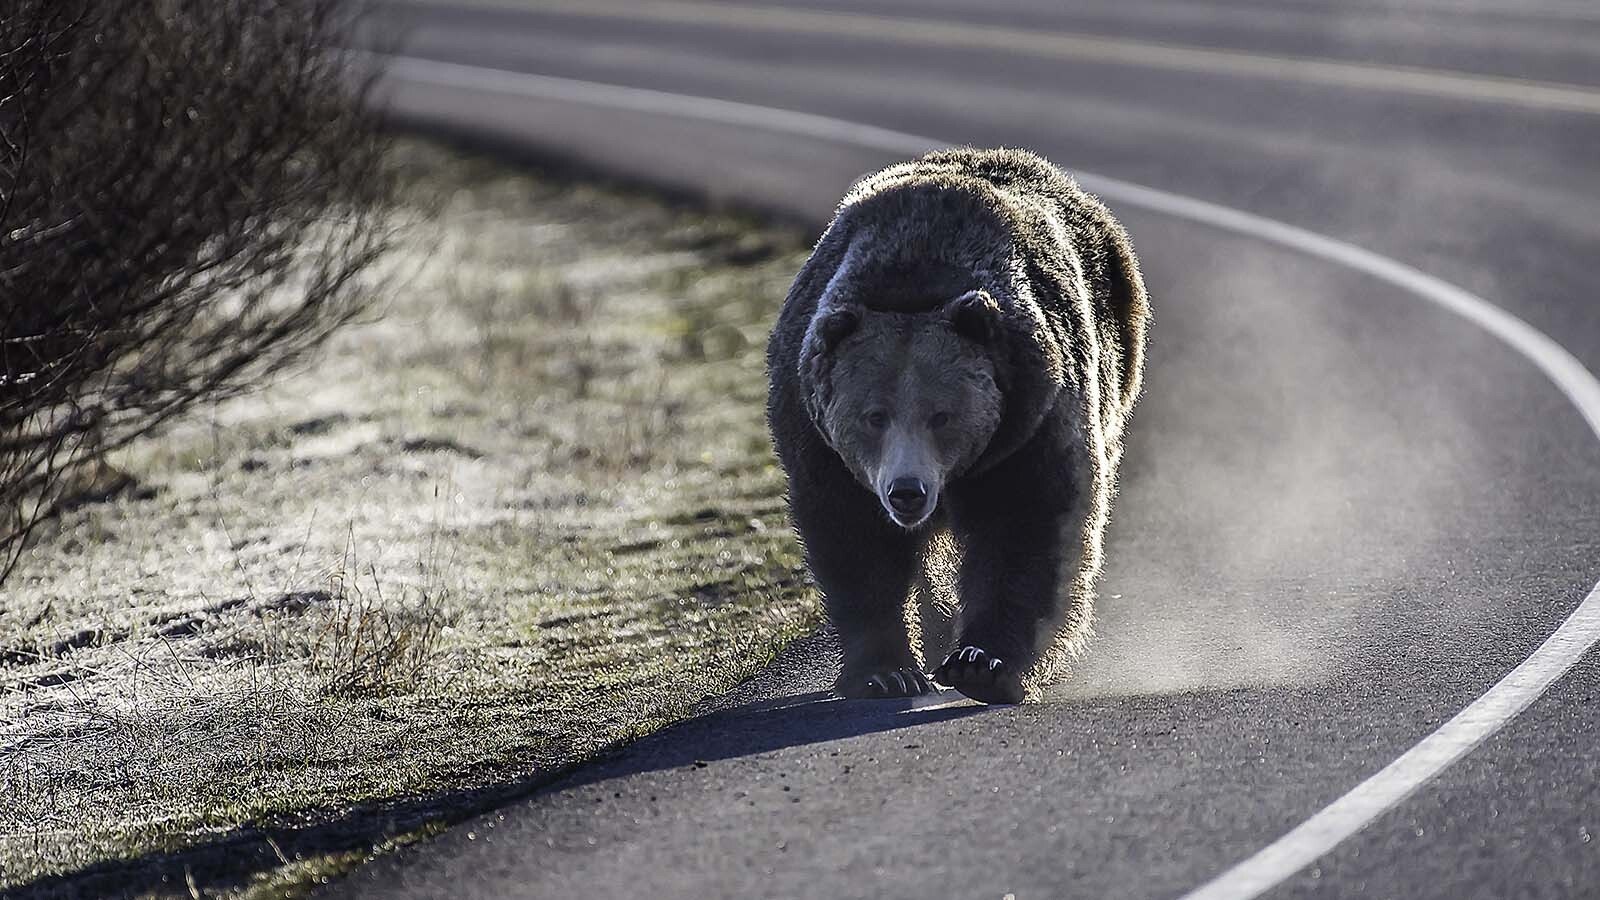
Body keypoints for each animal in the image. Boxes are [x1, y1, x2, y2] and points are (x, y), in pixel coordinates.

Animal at [764, 147, 1152, 704]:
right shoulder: (819, 440)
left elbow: (1027, 526)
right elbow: (853, 542)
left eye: (941, 415)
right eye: (874, 416)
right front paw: (885, 672)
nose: (907, 491)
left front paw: (983, 663)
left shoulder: (1029, 421)